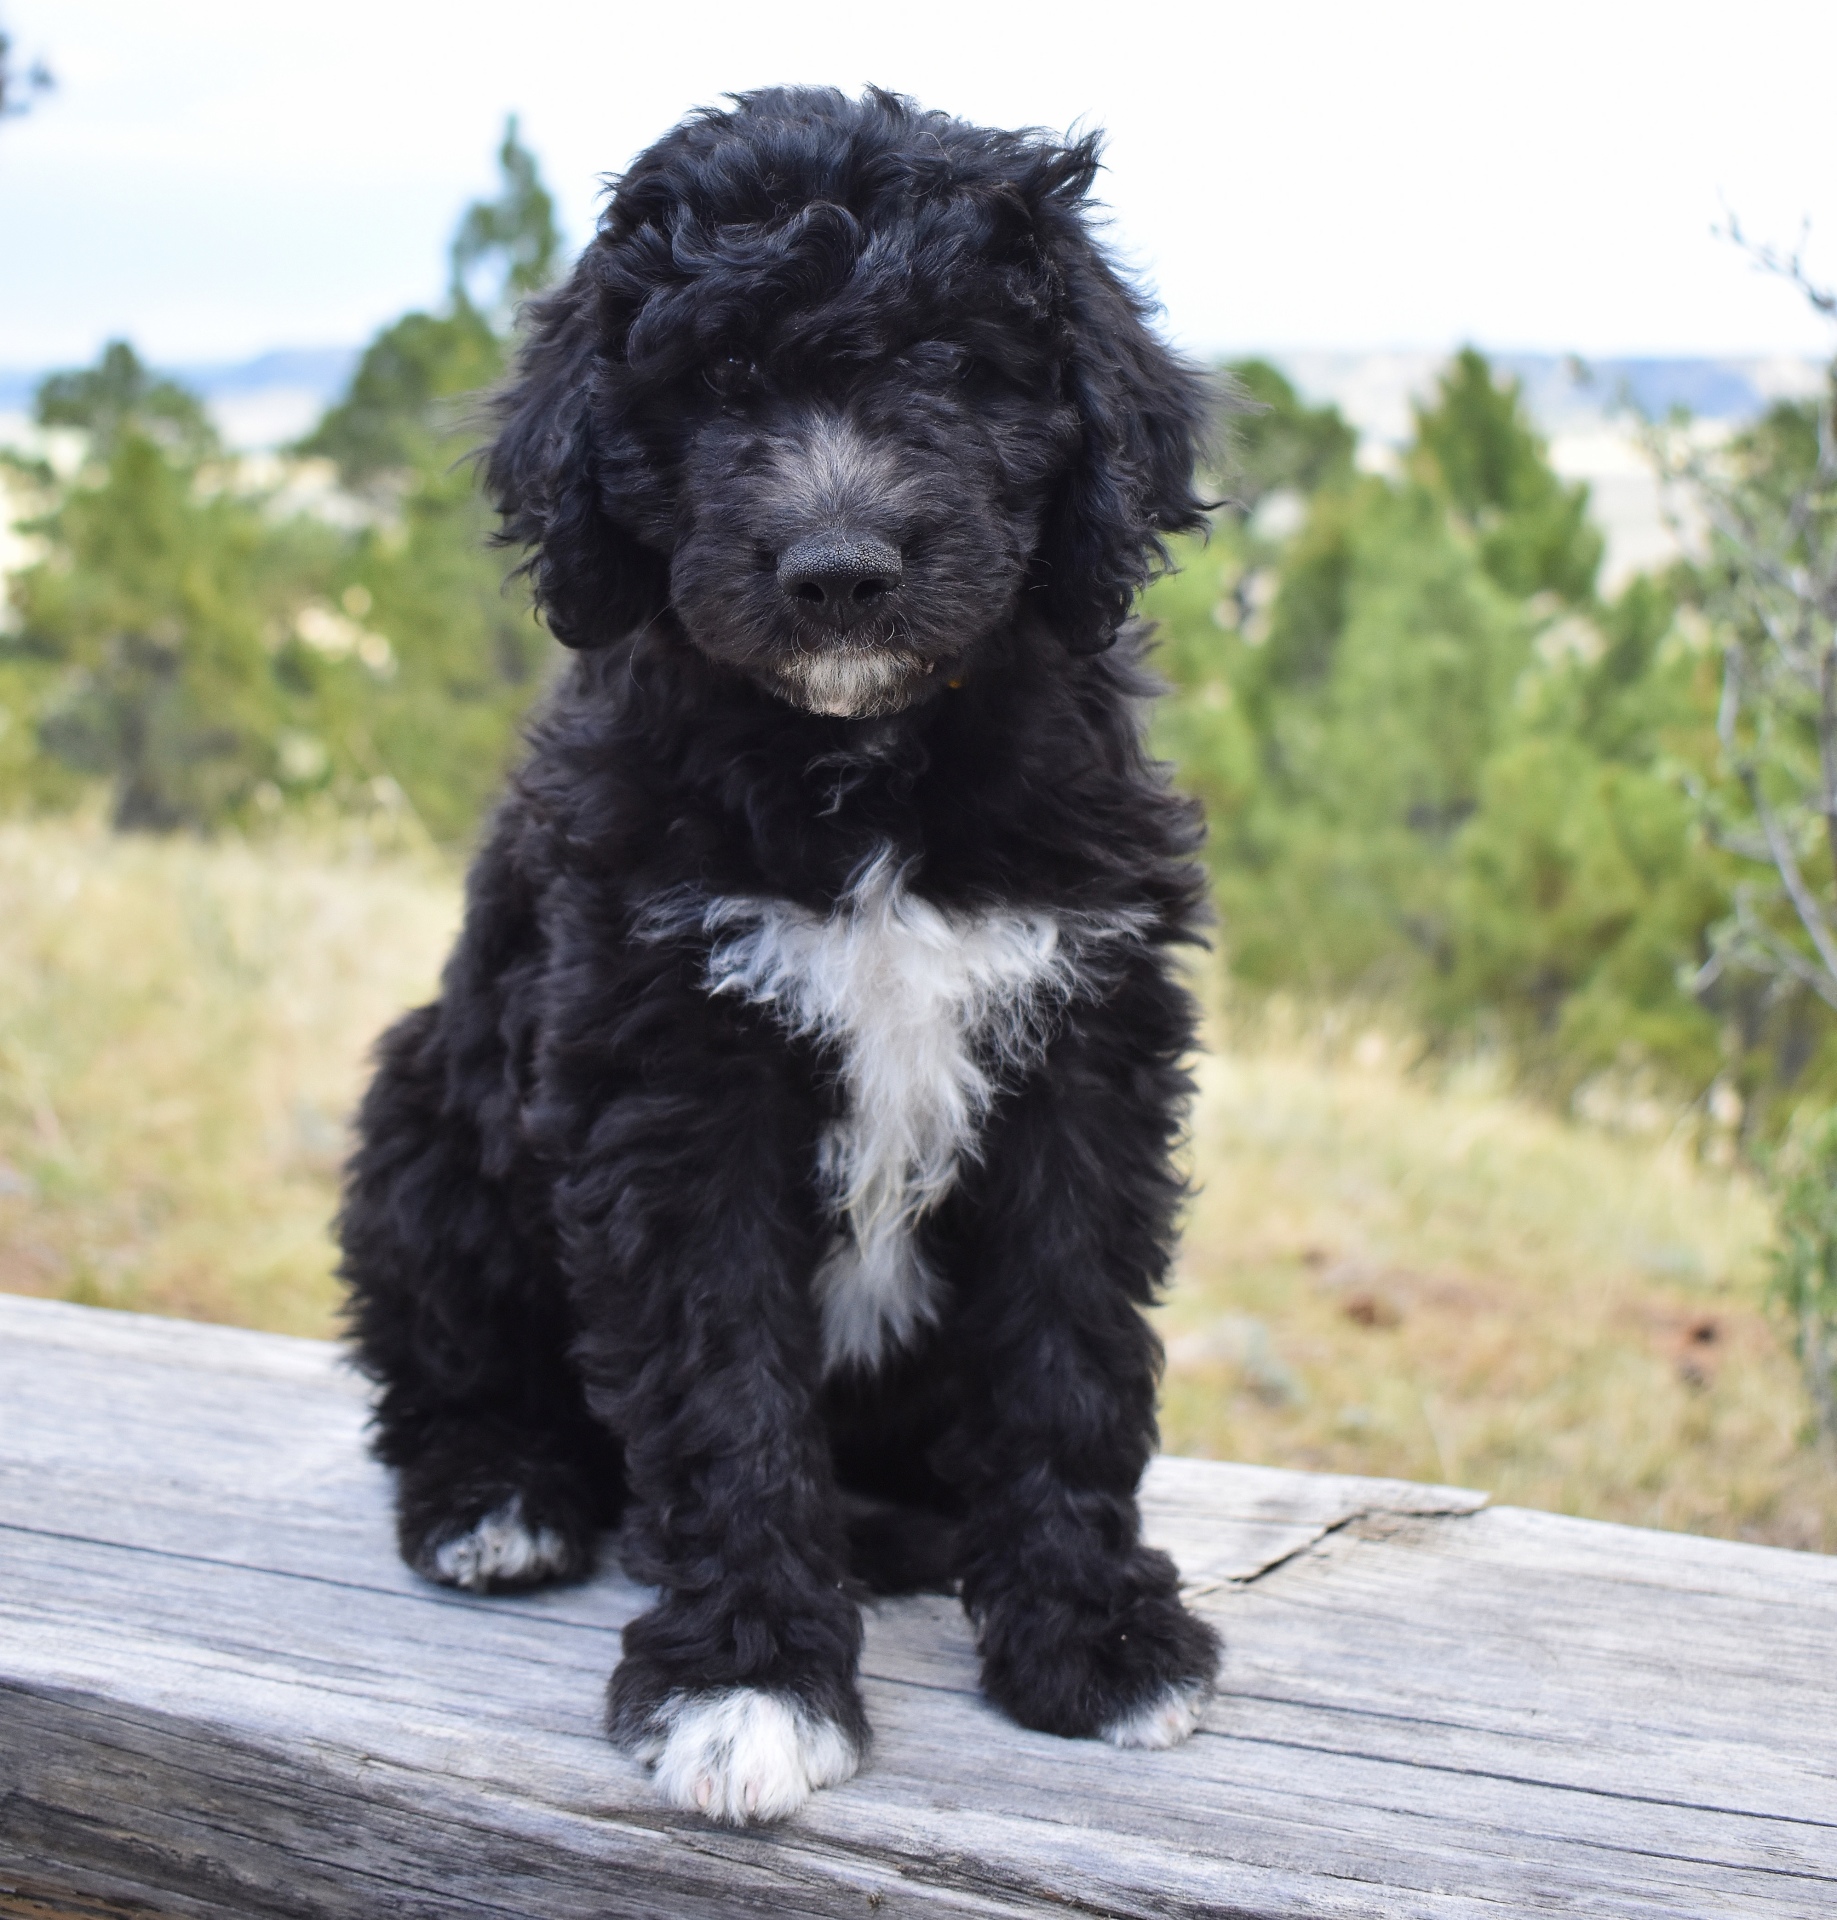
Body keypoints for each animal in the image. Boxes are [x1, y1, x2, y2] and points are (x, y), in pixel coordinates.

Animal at [339, 86, 1220, 1827]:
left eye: (950, 361)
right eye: (719, 384)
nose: (837, 569)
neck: (866, 765)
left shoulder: (1083, 1048)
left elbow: (1070, 1355)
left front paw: (1093, 1634)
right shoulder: (671, 1077)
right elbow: (723, 1391)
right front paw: (747, 1678)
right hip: (425, 1124)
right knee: (446, 1358)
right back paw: (498, 1499)